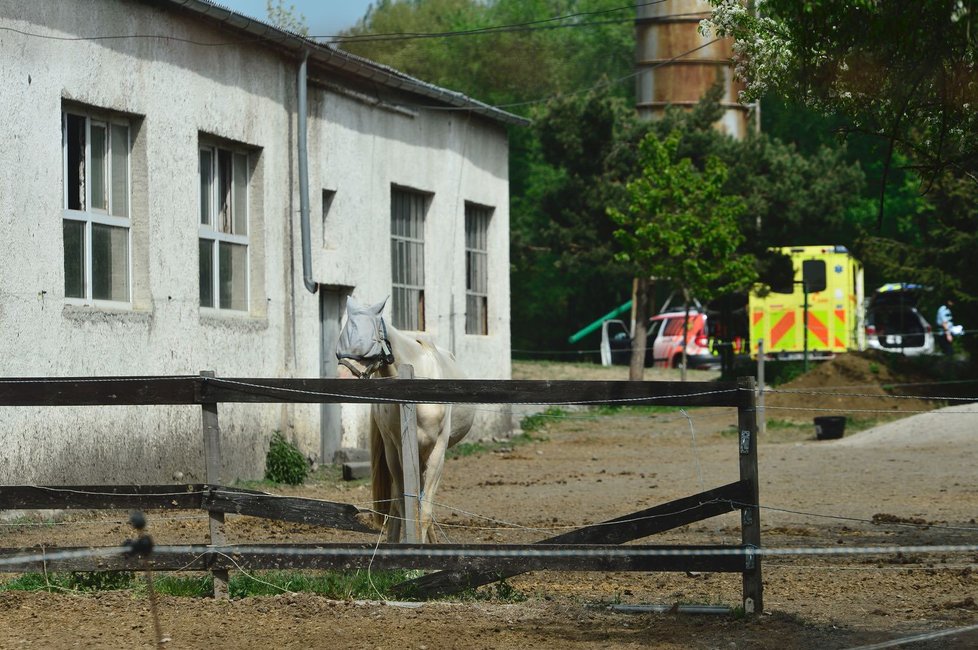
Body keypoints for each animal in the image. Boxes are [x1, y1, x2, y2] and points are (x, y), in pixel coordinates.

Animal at [336, 298, 472, 540]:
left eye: (369, 342)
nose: (341, 379)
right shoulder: (399, 450)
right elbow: (404, 506)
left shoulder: (437, 452)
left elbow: (424, 511)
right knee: (398, 505)